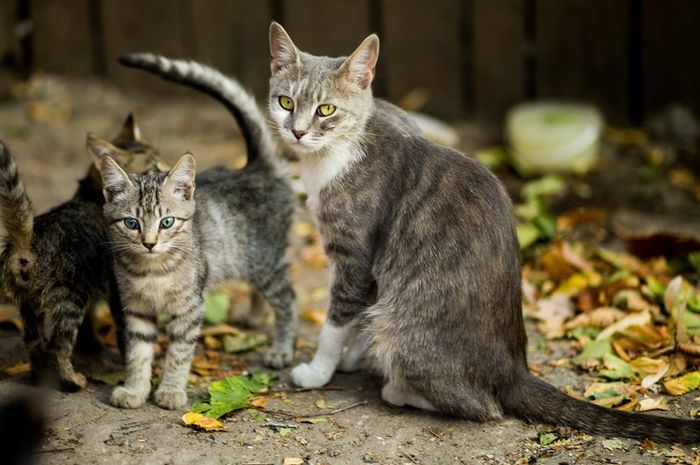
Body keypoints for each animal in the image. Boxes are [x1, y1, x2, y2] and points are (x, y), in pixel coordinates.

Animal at [0, 114, 165, 390]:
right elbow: (126, 334)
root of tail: (28, 239)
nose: (170, 172)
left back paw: (39, 378)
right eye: (154, 169)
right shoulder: (117, 289)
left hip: (28, 303)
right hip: (68, 297)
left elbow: (92, 319)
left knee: (33, 342)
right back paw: (72, 380)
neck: (91, 195)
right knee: (57, 345)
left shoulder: (94, 282)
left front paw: (92, 344)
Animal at [95, 59, 296, 410]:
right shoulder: (135, 309)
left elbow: (178, 352)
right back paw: (254, 317)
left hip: (265, 261)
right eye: (131, 223)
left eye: (167, 222)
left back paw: (282, 348)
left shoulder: (190, 307)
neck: (153, 270)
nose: (149, 243)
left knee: (288, 299)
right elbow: (138, 353)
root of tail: (255, 167)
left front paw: (171, 390)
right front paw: (135, 389)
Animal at [266, 22, 700, 442]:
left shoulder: (355, 255)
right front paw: (351, 356)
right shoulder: (368, 272)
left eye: (326, 109)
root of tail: (514, 370)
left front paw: (319, 369)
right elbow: (357, 316)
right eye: (286, 102)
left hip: (404, 331)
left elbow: (337, 320)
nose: (297, 132)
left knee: (482, 406)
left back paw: (399, 389)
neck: (336, 153)